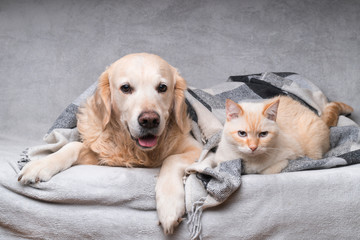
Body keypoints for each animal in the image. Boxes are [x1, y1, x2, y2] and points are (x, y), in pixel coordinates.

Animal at [17, 53, 202, 234]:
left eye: (162, 87)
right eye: (126, 88)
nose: (149, 120)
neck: (133, 147)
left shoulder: (199, 150)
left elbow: (171, 159)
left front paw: (169, 205)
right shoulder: (103, 155)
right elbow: (72, 146)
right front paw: (41, 164)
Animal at [215, 96, 352, 174]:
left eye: (263, 134)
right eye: (242, 134)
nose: (253, 147)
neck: (251, 161)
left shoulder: (287, 157)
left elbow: (266, 171)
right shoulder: (220, 160)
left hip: (313, 149)